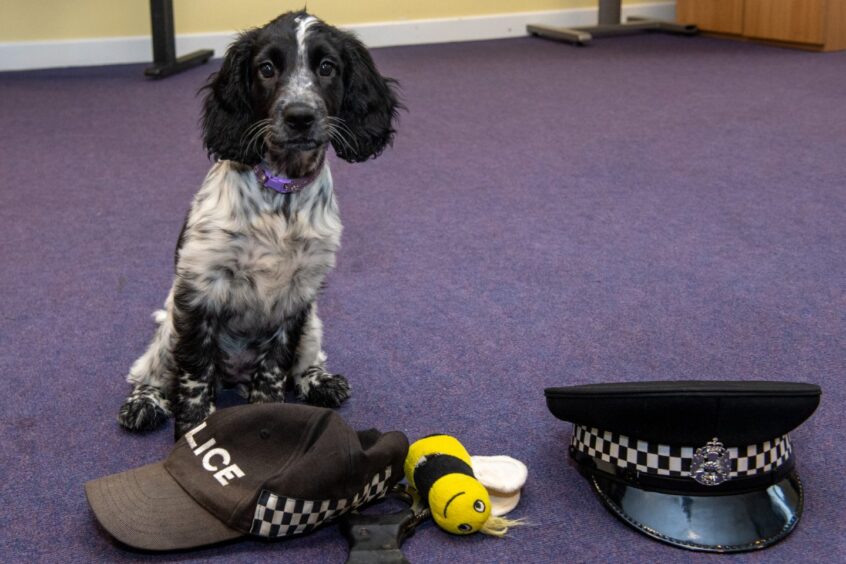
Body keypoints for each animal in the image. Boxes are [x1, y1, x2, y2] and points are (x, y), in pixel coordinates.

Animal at [117, 11, 404, 438]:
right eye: (266, 69)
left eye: (327, 67)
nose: (300, 117)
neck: (282, 191)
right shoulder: (200, 289)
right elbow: (194, 375)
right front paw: (194, 431)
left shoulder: (297, 296)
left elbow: (274, 370)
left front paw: (269, 417)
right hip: (170, 329)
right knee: (148, 370)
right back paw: (144, 403)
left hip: (312, 323)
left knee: (305, 361)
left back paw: (320, 381)